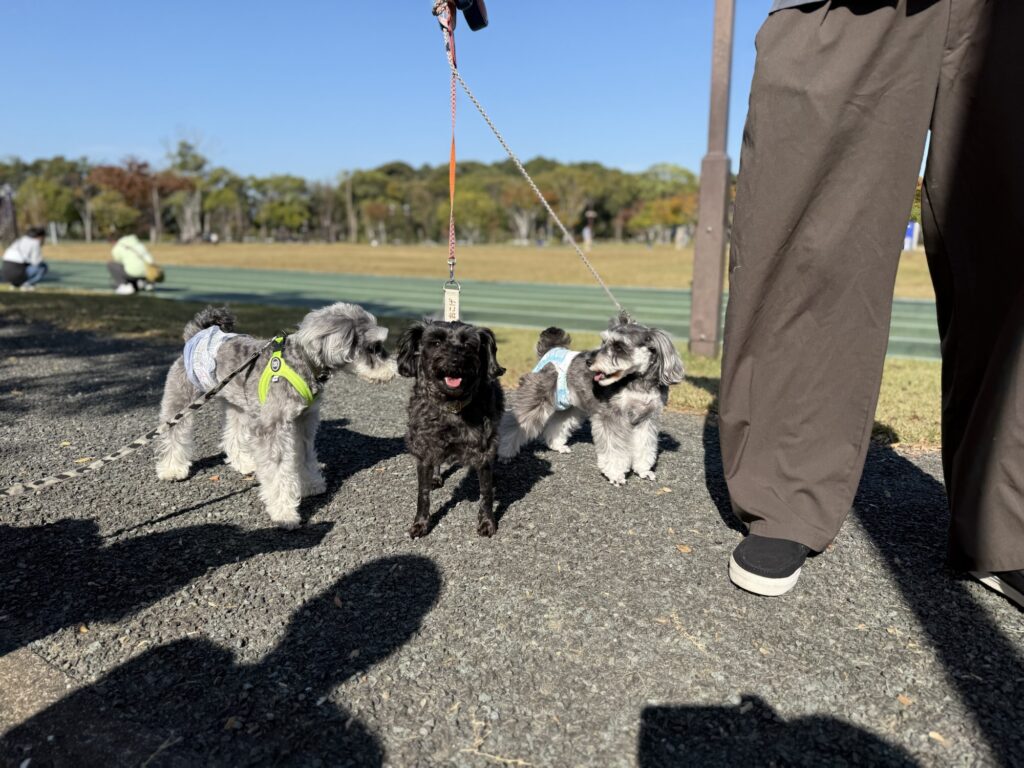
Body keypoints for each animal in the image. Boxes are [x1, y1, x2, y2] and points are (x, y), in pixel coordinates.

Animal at [155, 303, 396, 528]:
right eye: (373, 347)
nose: (395, 369)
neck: (302, 362)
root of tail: (197, 333)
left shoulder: (303, 422)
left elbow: (305, 457)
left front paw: (310, 484)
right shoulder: (271, 429)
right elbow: (279, 472)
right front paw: (284, 513)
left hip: (239, 405)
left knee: (233, 434)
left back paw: (244, 463)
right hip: (181, 398)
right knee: (173, 433)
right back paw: (172, 469)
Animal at [397, 319, 505, 538]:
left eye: (469, 345)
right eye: (436, 343)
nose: (455, 361)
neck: (451, 405)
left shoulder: (483, 450)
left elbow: (486, 492)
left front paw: (487, 522)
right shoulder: (424, 448)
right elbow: (422, 494)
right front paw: (420, 523)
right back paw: (436, 477)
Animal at [498, 313, 684, 486]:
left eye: (619, 346)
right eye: (604, 342)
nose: (589, 361)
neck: (638, 382)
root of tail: (550, 351)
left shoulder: (647, 419)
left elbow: (645, 446)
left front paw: (643, 470)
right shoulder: (611, 417)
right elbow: (614, 449)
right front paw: (616, 474)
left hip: (570, 406)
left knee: (558, 423)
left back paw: (557, 445)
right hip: (535, 397)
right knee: (513, 425)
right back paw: (503, 453)